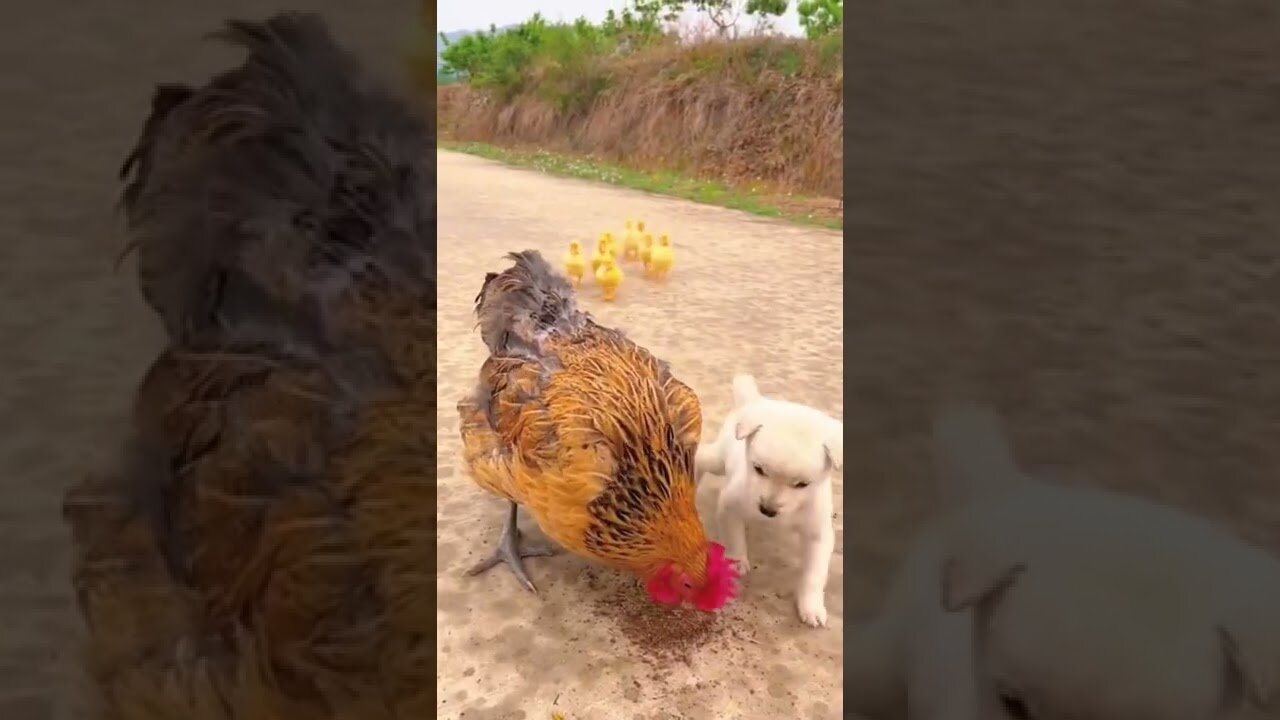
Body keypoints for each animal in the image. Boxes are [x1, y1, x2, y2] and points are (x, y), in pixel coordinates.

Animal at [696, 371, 844, 625]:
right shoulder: (730, 505)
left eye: (803, 484)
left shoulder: (819, 533)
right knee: (700, 456)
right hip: (718, 460)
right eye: (758, 469)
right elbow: (733, 536)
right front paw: (737, 561)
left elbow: (814, 573)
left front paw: (811, 606)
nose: (767, 510)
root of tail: (755, 402)